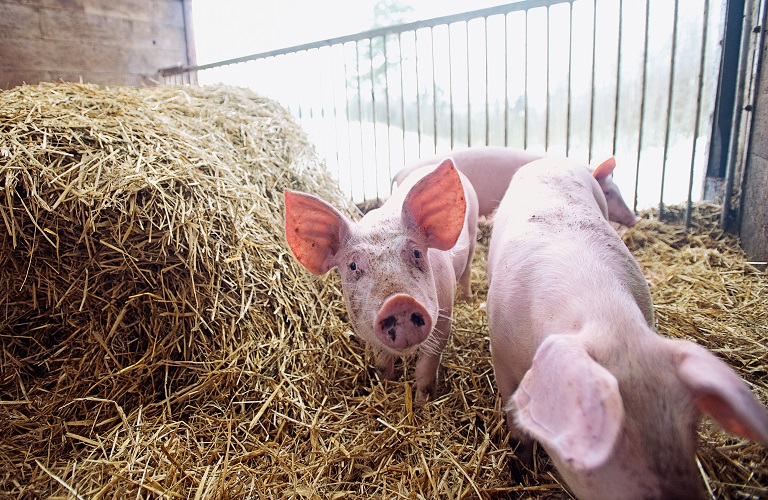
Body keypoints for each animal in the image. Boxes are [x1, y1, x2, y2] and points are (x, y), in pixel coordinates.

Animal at [284, 158, 476, 400]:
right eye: (353, 265)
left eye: (416, 253)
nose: (400, 302)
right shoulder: (367, 332)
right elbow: (383, 364)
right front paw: (386, 384)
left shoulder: (443, 320)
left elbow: (425, 368)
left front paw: (423, 402)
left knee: (468, 270)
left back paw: (467, 298)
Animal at [488, 157, 768, 500]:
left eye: (692, 427)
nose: (635, 219)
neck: (608, 317)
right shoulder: (501, 356)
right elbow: (517, 425)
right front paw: (521, 472)